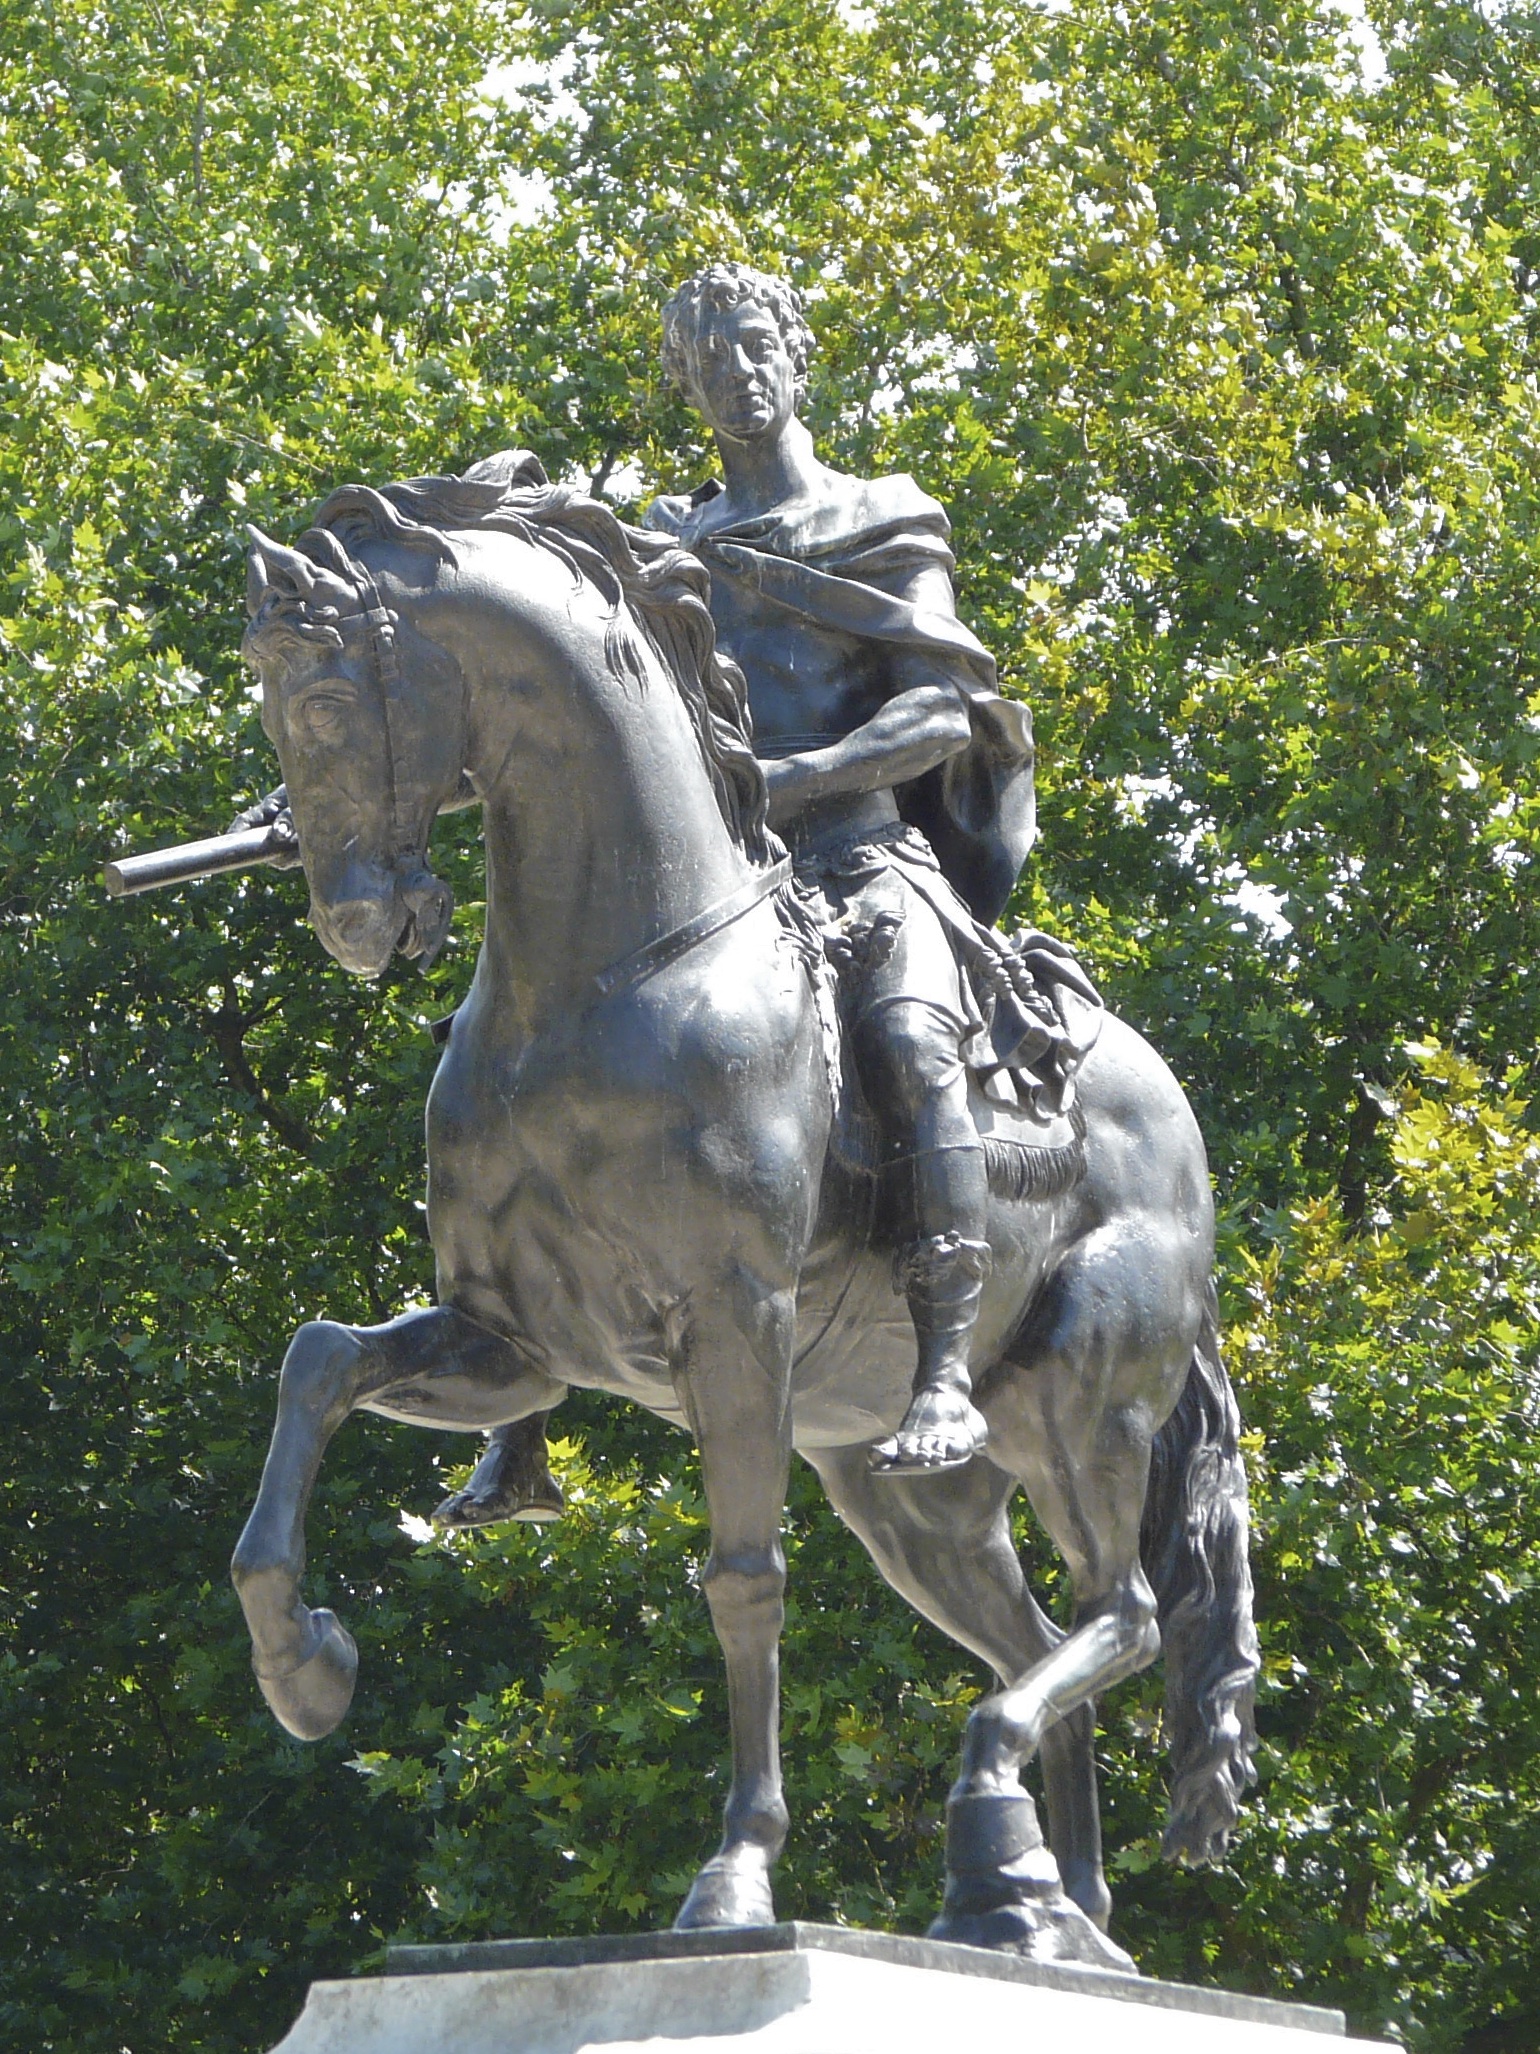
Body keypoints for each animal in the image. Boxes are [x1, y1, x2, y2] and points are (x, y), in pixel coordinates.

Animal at [232, 453, 1264, 1971]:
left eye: (316, 700)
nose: (358, 925)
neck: (597, 991)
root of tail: (1173, 1121)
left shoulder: (737, 1325)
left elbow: (743, 1579)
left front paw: (734, 1872)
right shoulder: (514, 1344)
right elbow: (312, 1365)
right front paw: (305, 1664)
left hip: (1084, 1405)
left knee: (1119, 1618)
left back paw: (1006, 1830)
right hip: (911, 1502)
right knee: (1037, 1645)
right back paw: (1050, 1909)